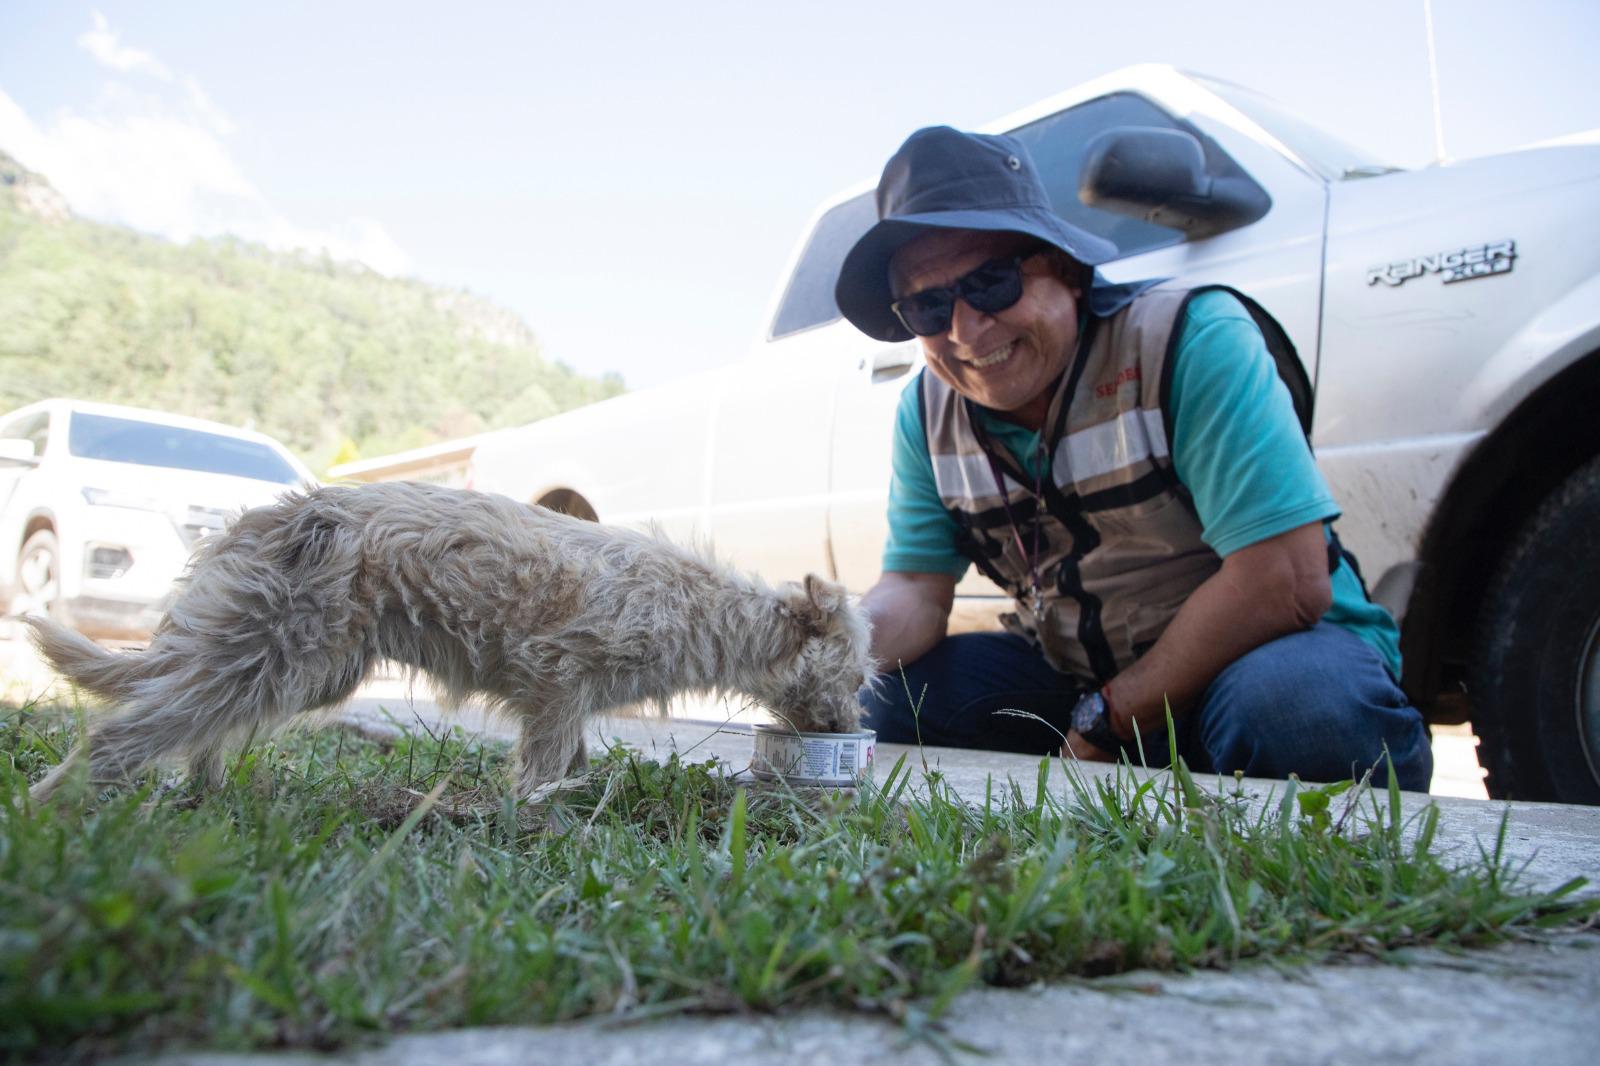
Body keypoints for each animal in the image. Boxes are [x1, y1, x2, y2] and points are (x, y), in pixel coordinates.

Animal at [25, 480, 876, 797]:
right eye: (859, 678)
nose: (849, 728)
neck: (708, 610)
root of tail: (256, 522)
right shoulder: (558, 679)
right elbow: (544, 764)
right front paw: (539, 811)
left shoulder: (567, 700)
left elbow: (571, 756)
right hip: (271, 655)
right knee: (126, 733)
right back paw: (53, 807)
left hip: (298, 669)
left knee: (196, 727)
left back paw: (208, 794)